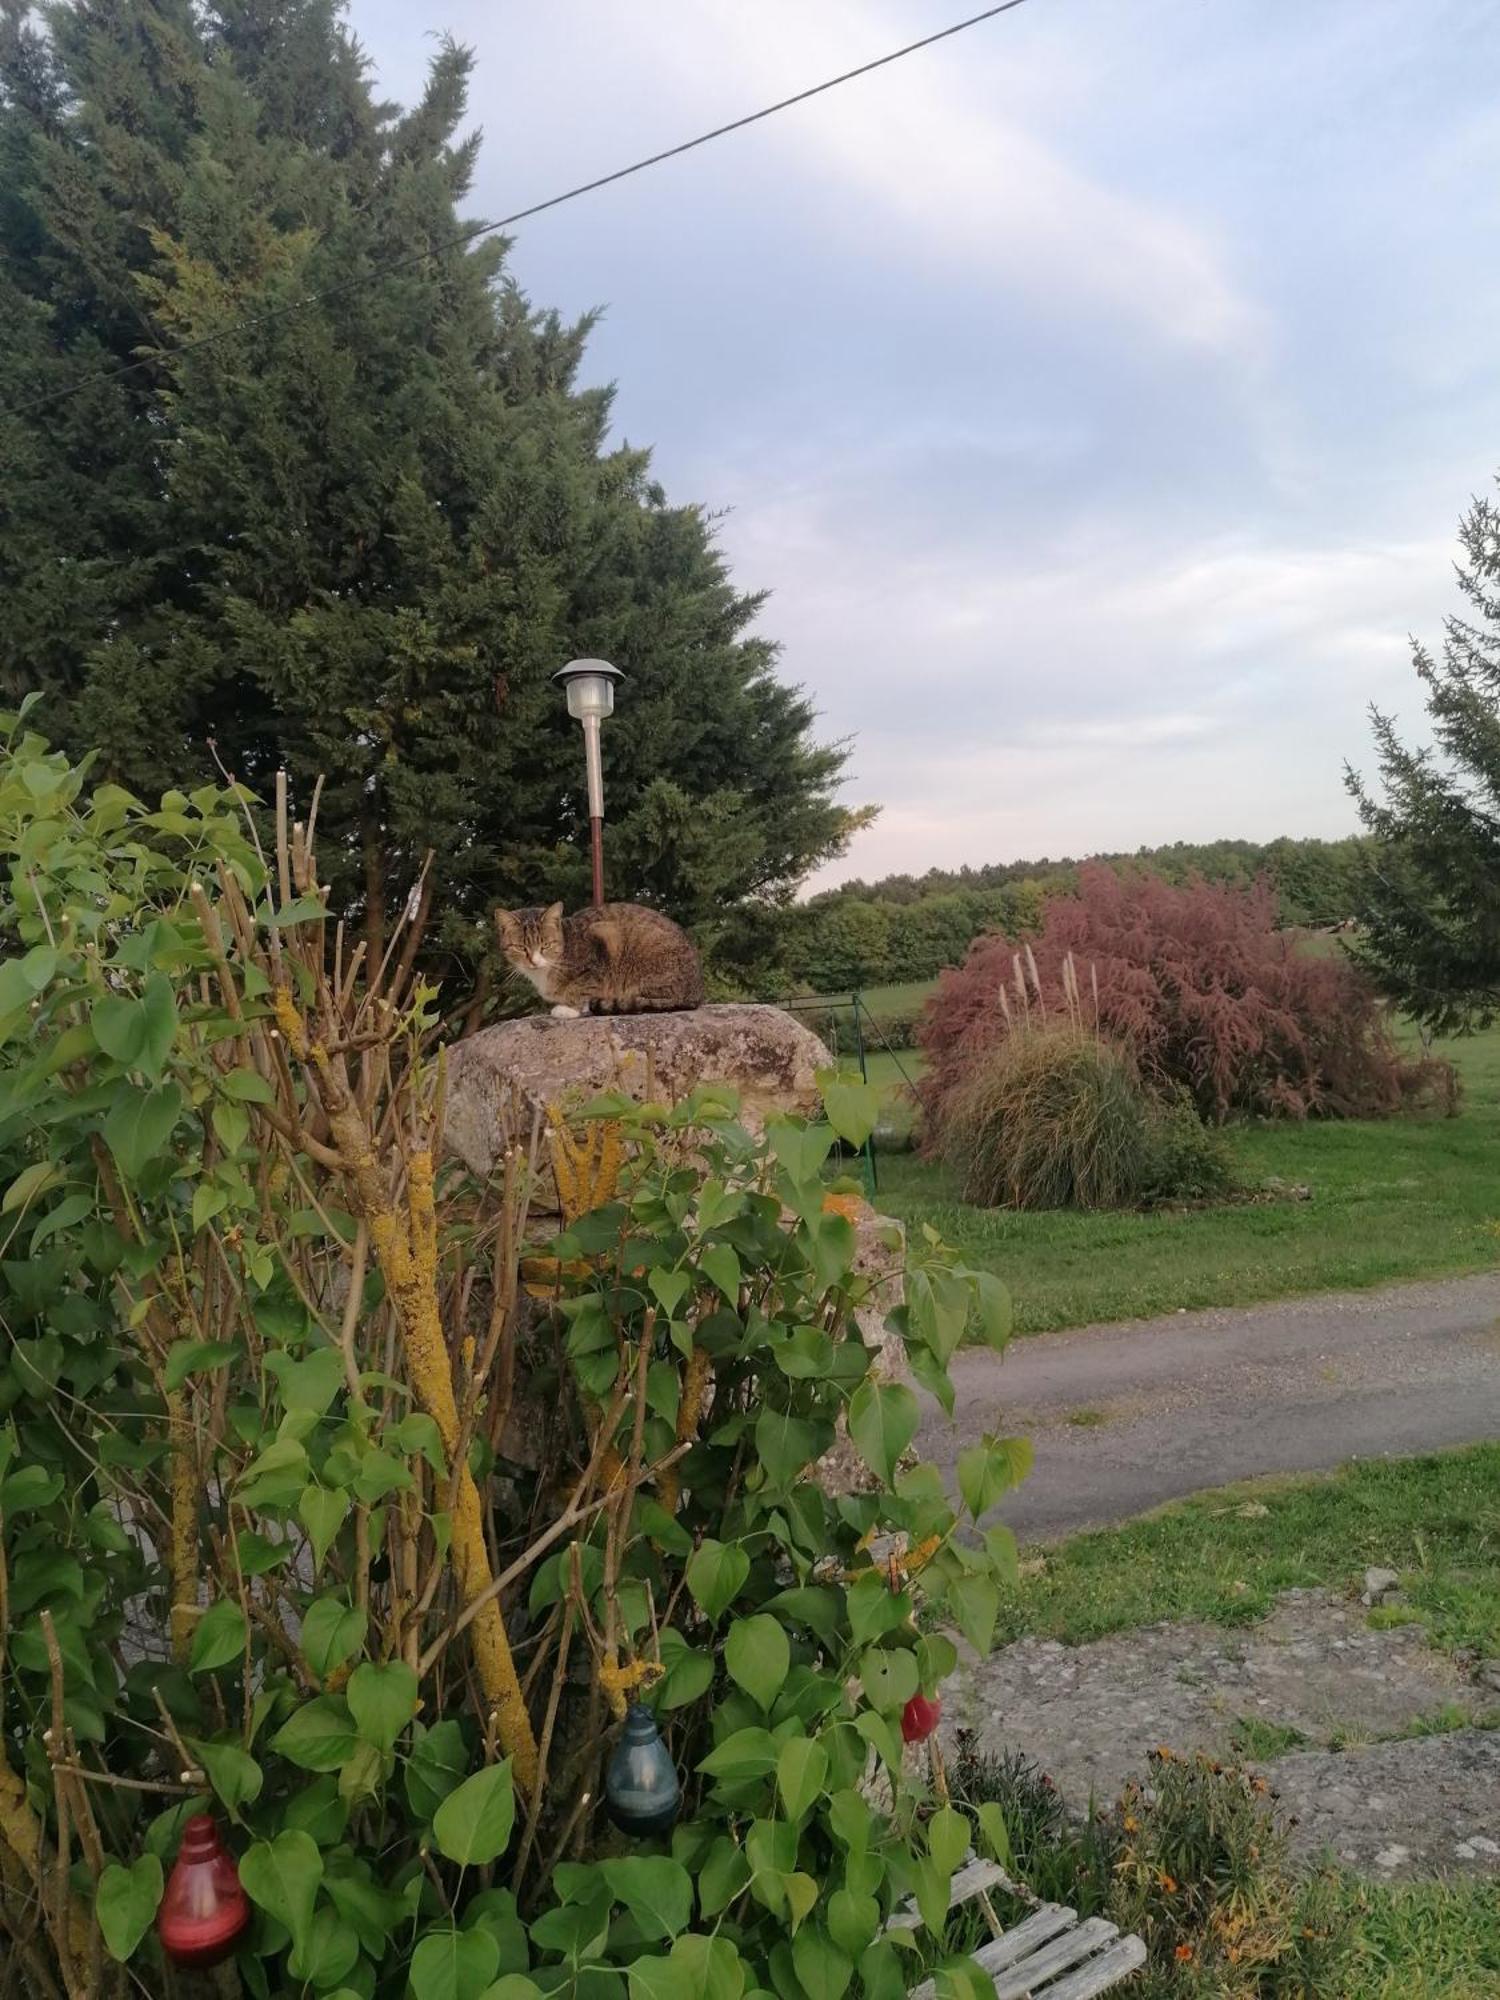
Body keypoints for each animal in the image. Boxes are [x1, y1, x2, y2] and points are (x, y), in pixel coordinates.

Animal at [494, 916, 704, 1024]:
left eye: (545, 945)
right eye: (520, 947)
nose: (534, 960)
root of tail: (695, 994)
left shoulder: (600, 943)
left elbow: (583, 990)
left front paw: (569, 1010)